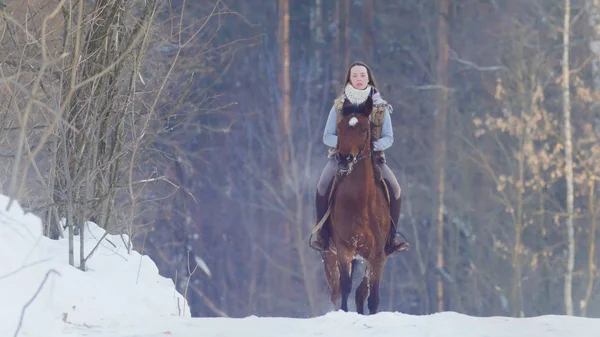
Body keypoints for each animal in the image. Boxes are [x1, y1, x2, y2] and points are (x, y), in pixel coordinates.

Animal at [322, 97, 392, 316]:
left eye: (364, 129)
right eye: (340, 128)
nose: (344, 158)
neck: (361, 204)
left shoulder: (377, 255)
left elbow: (373, 296)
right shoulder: (344, 248)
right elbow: (345, 287)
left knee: (361, 292)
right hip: (330, 255)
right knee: (336, 292)